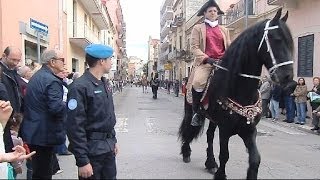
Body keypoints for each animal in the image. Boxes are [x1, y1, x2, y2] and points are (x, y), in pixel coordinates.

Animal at [179, 8, 294, 179]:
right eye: (276, 39)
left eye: (290, 42)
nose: (288, 78)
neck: (240, 89)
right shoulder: (225, 129)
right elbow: (224, 155)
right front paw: (220, 175)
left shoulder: (249, 130)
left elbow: (255, 159)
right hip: (190, 108)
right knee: (189, 127)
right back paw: (186, 152)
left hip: (213, 119)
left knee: (209, 135)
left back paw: (210, 163)